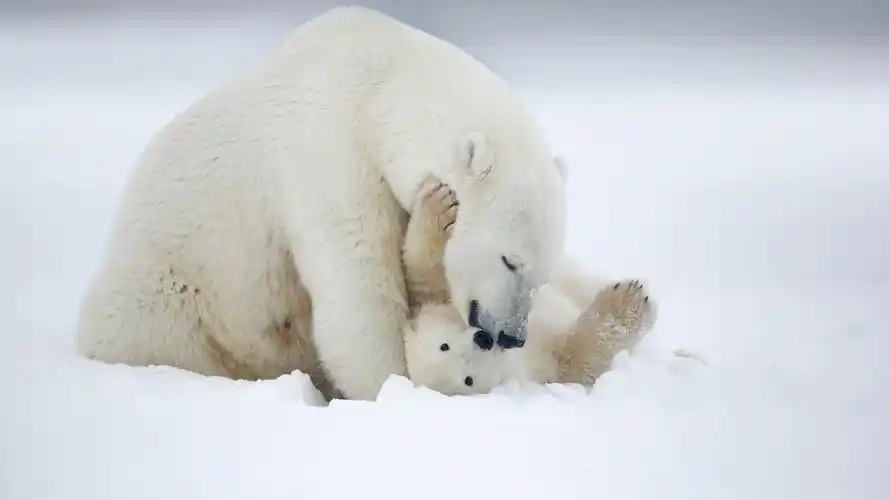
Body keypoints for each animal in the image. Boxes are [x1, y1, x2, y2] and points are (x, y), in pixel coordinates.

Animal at [75, 6, 568, 401]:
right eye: (509, 260)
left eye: (542, 275)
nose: (511, 336)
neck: (381, 86)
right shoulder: (330, 154)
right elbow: (358, 291)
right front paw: (394, 386)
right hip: (171, 293)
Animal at [399, 178, 657, 395]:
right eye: (468, 380)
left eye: (444, 345)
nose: (483, 339)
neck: (516, 356)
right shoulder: (542, 367)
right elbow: (575, 358)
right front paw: (630, 301)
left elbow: (426, 272)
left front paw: (439, 205)